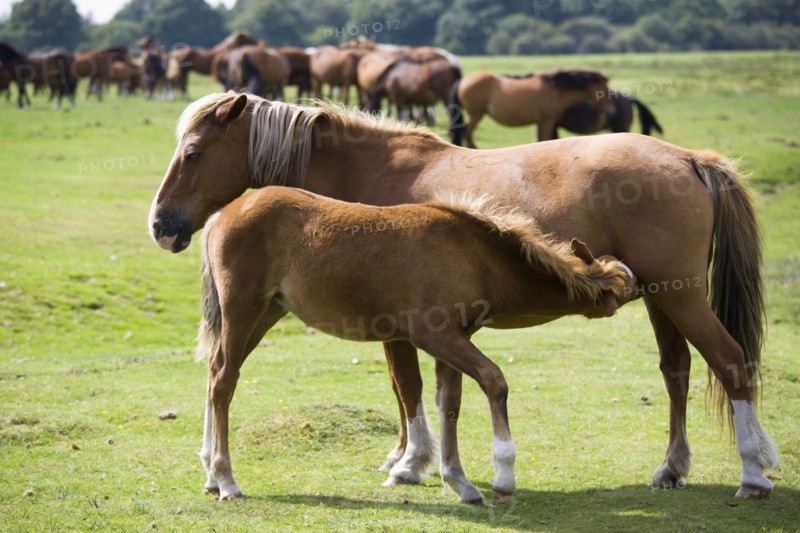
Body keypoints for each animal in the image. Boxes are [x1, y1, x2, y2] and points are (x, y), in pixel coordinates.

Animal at [195, 185, 638, 502]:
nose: (643, 291)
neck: (472, 253)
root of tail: (223, 213)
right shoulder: (434, 334)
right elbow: (494, 380)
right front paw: (502, 474)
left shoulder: (457, 336)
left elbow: (450, 402)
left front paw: (459, 482)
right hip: (243, 311)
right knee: (224, 380)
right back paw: (227, 480)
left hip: (266, 314)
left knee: (215, 373)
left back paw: (211, 475)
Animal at [449, 69, 615, 147]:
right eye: (603, 90)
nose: (610, 112)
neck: (555, 90)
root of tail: (462, 81)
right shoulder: (548, 121)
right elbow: (546, 139)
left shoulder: (541, 122)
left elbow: (540, 140)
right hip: (476, 114)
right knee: (467, 132)